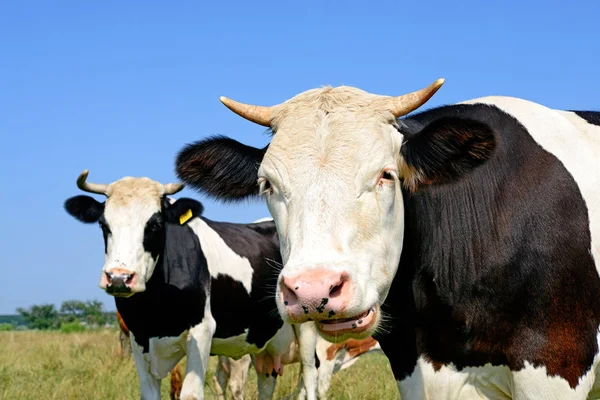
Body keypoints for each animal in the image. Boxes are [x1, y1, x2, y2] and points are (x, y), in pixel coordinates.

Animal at [63, 171, 318, 400]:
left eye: (155, 224)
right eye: (103, 224)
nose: (119, 278)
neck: (155, 305)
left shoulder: (202, 331)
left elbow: (191, 394)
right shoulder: (138, 338)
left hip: (305, 328)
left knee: (310, 376)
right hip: (264, 342)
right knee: (266, 382)